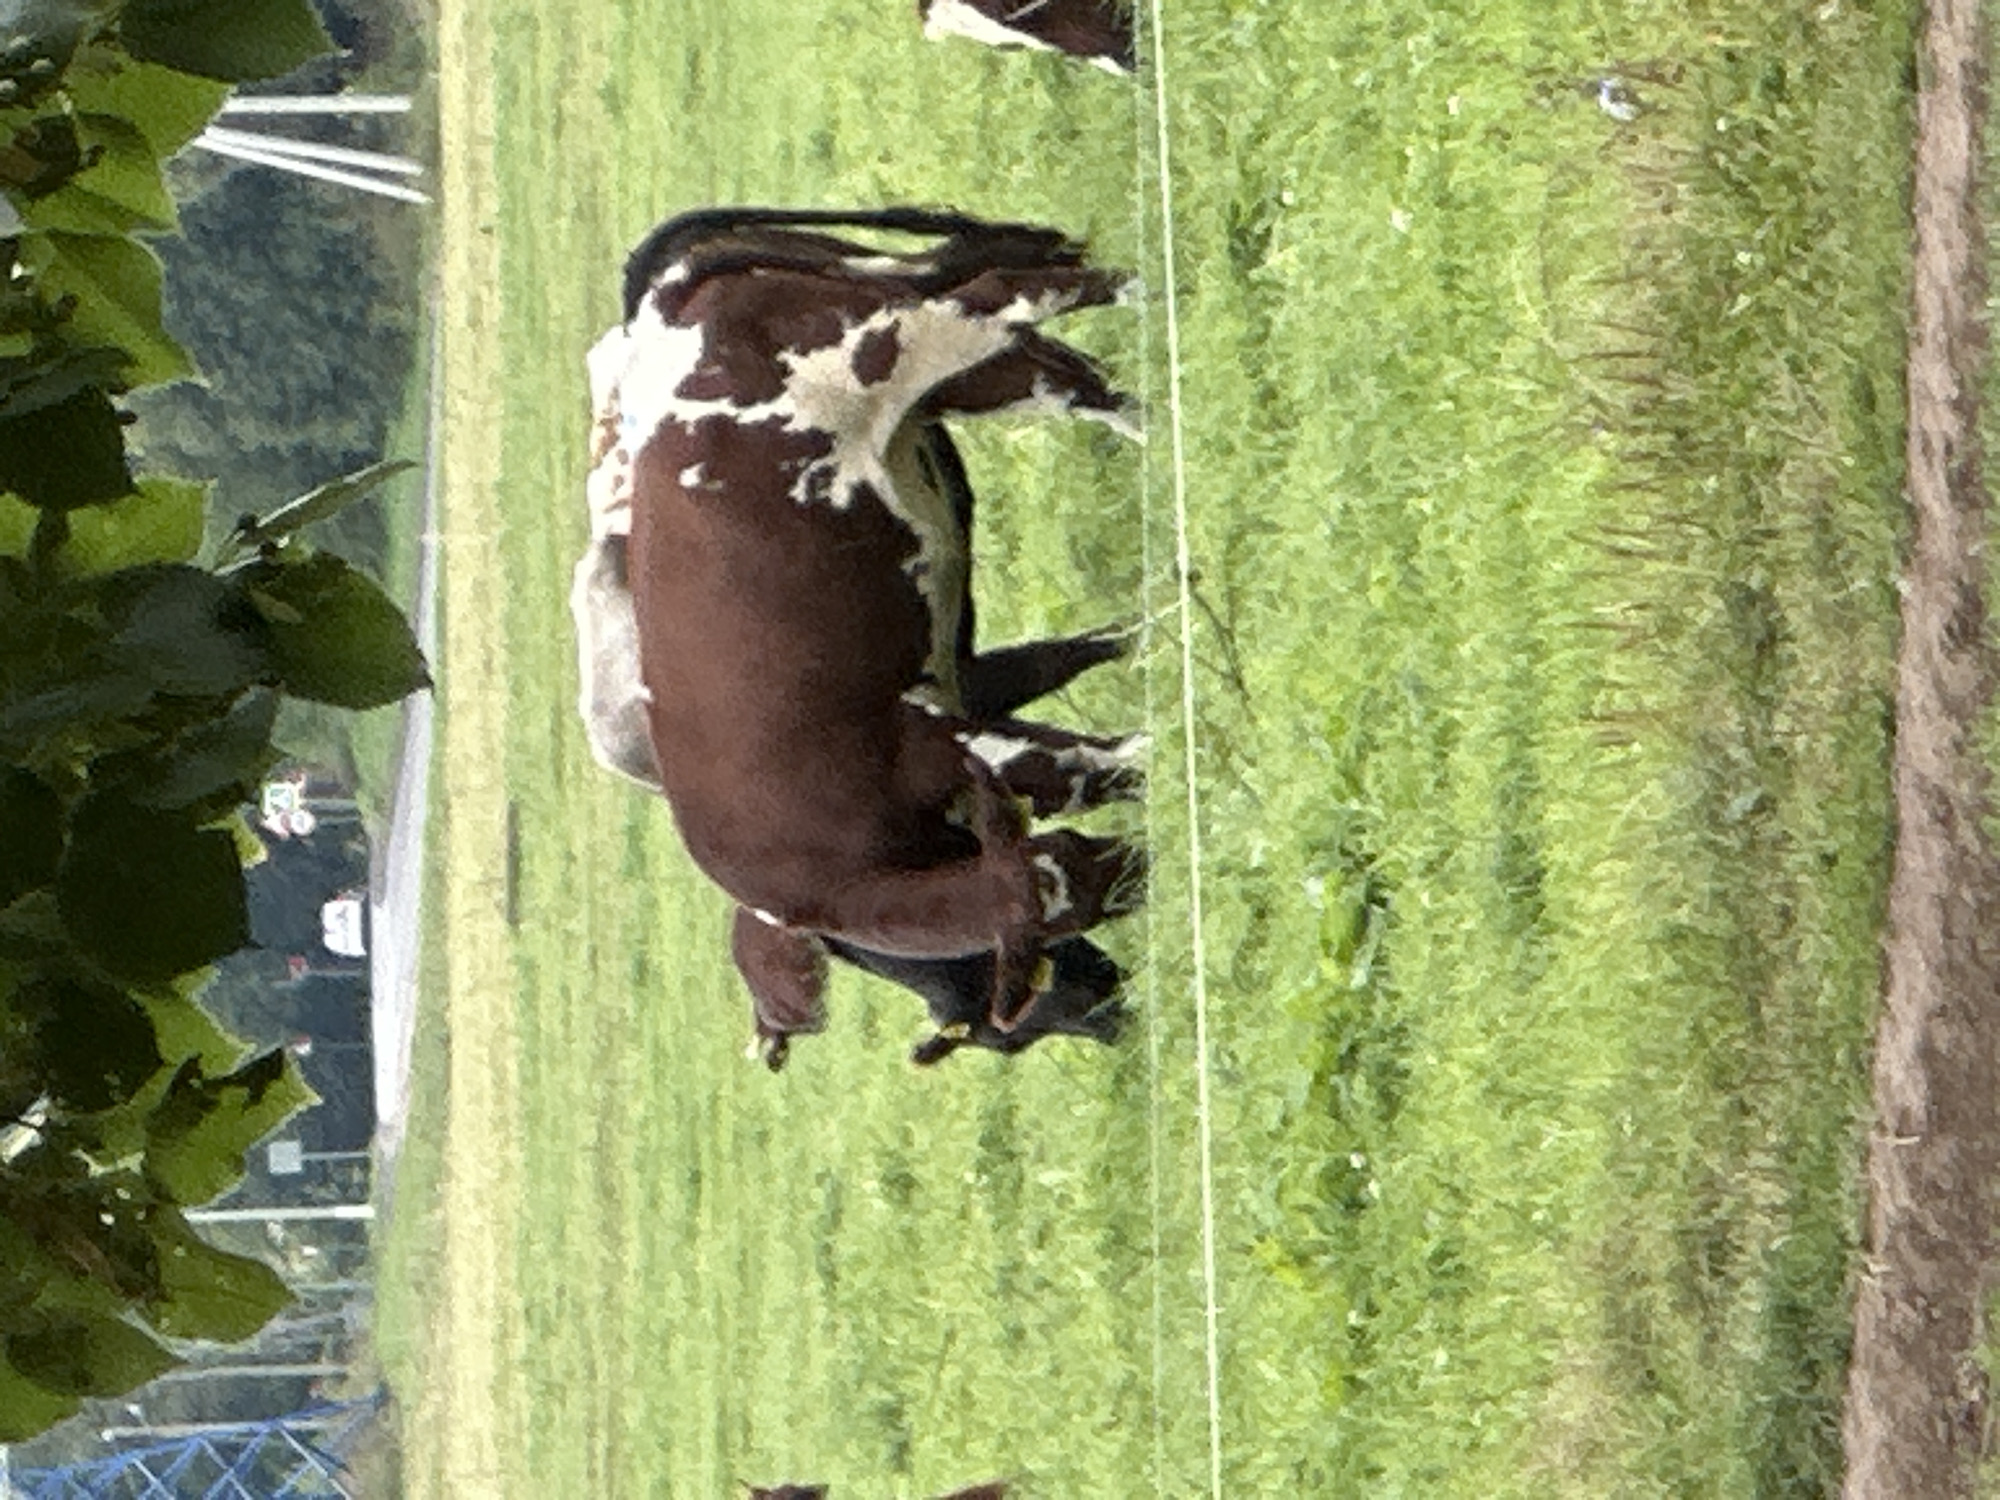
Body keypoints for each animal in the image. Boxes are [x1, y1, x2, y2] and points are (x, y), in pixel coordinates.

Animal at [595, 207, 1146, 1032]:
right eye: (1079, 906)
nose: (1146, 871)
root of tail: (663, 305)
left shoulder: (952, 742)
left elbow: (1090, 761)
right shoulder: (966, 724)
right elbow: (1086, 766)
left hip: (917, 334)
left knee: (1022, 292)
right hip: (946, 364)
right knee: (1072, 373)